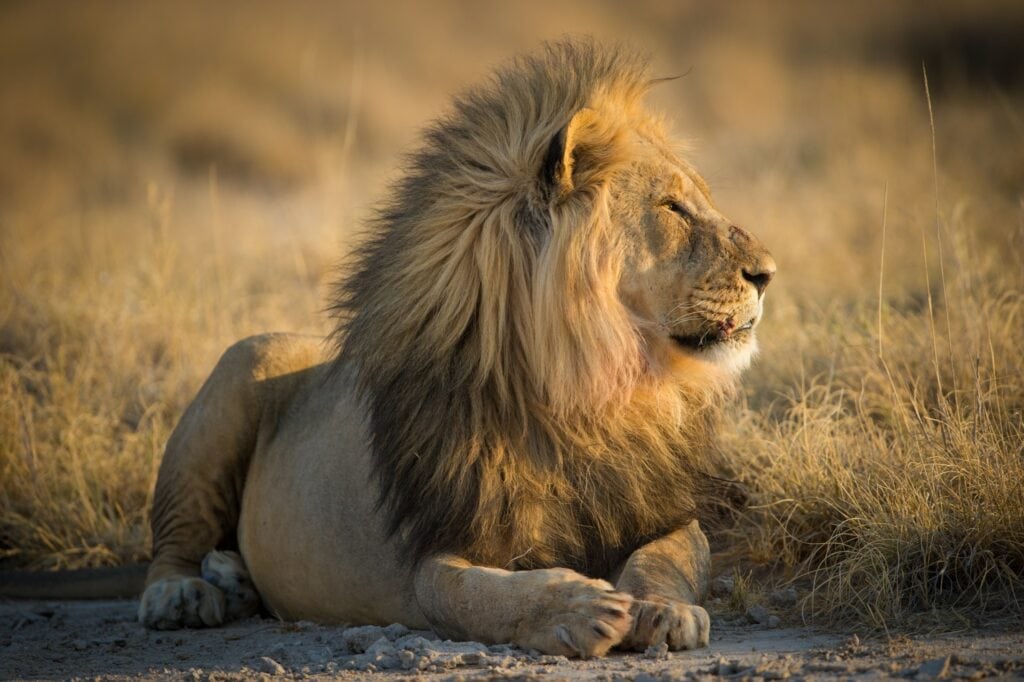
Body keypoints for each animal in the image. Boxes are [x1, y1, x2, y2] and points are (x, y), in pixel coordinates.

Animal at [137, 39, 775, 657]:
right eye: (672, 208)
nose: (768, 273)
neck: (581, 397)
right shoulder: (439, 550)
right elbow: (478, 594)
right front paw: (576, 609)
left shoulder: (659, 509)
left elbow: (662, 559)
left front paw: (664, 611)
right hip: (243, 360)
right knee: (172, 542)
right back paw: (183, 594)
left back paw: (233, 579)